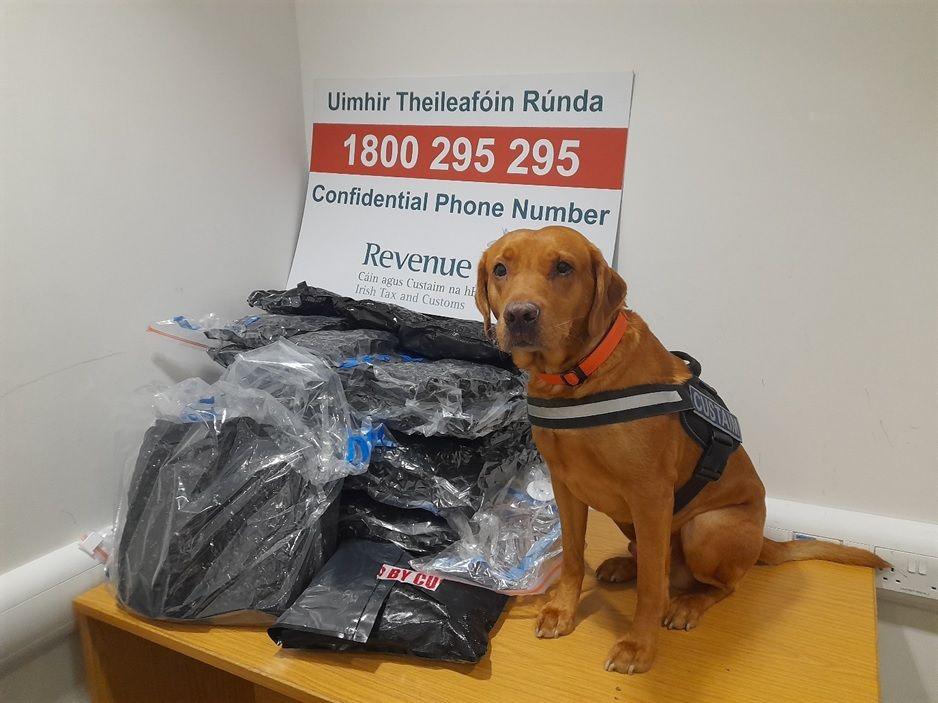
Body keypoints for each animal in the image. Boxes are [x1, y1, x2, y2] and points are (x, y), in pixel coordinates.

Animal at [476, 227, 884, 676]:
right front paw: (563, 610)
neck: (578, 378)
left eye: (563, 267)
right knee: (650, 557)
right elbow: (571, 556)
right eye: (500, 269)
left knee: (720, 584)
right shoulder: (565, 486)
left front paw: (639, 646)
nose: (519, 315)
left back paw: (688, 604)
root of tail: (763, 543)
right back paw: (625, 565)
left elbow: (653, 589)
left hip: (704, 528)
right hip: (631, 520)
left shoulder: (651, 496)